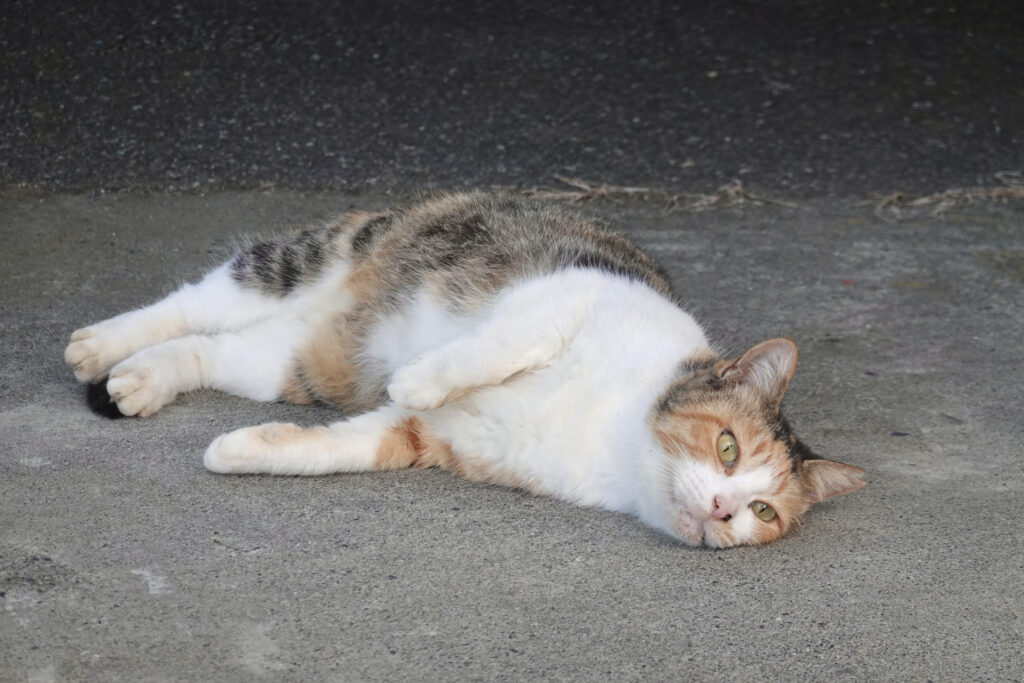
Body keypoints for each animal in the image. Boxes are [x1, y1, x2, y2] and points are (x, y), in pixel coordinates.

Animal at [64, 192, 864, 548]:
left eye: (765, 511)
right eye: (727, 446)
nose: (727, 510)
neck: (612, 431)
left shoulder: (431, 438)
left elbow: (343, 445)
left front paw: (244, 450)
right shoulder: (564, 298)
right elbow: (493, 347)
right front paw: (418, 373)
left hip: (294, 364)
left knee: (211, 348)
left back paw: (140, 379)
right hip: (310, 259)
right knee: (192, 301)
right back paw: (100, 344)